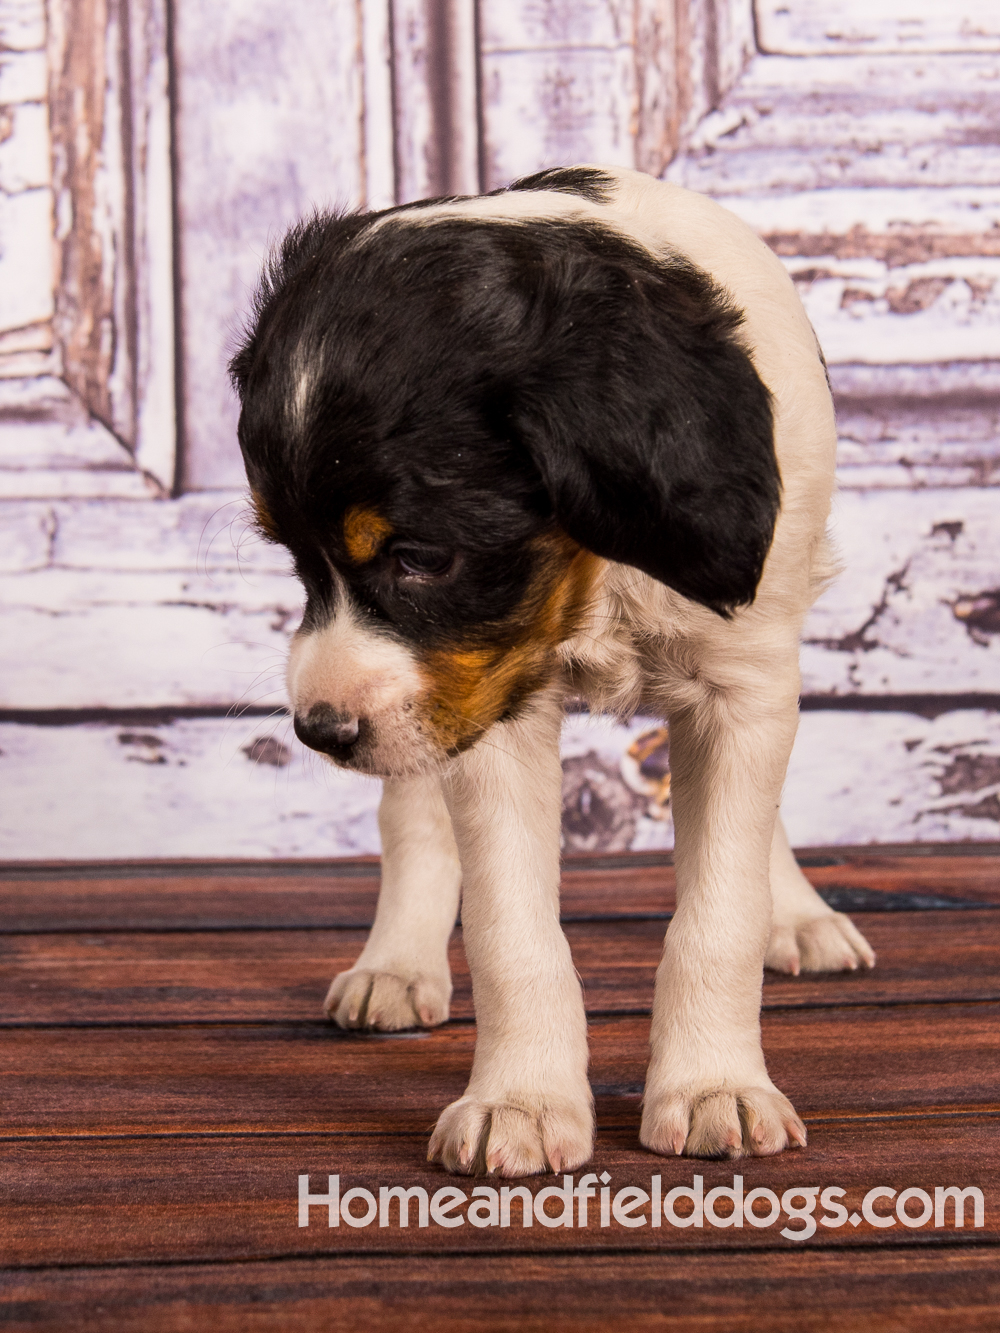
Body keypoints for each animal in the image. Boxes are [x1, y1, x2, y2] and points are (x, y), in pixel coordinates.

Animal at [230, 163, 874, 1178]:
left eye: (422, 557)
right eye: (295, 562)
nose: (318, 730)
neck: (598, 561)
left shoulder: (742, 683)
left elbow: (720, 905)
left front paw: (713, 1085)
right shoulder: (485, 699)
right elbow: (509, 926)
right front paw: (522, 1102)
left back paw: (799, 915)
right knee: (412, 813)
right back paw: (395, 964)